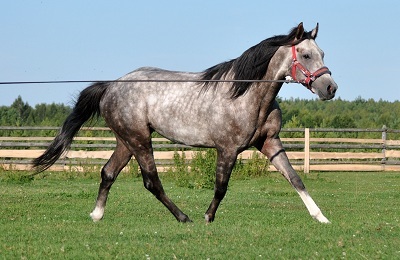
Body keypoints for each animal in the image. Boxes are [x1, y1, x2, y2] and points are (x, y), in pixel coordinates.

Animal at [32, 22, 338, 223]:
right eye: (307, 55)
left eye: (323, 53)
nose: (330, 88)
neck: (246, 93)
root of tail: (111, 86)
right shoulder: (227, 149)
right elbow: (221, 186)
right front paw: (207, 217)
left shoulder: (270, 143)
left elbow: (295, 178)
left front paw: (321, 217)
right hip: (140, 140)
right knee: (151, 181)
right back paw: (183, 217)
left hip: (126, 140)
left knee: (108, 172)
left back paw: (96, 215)